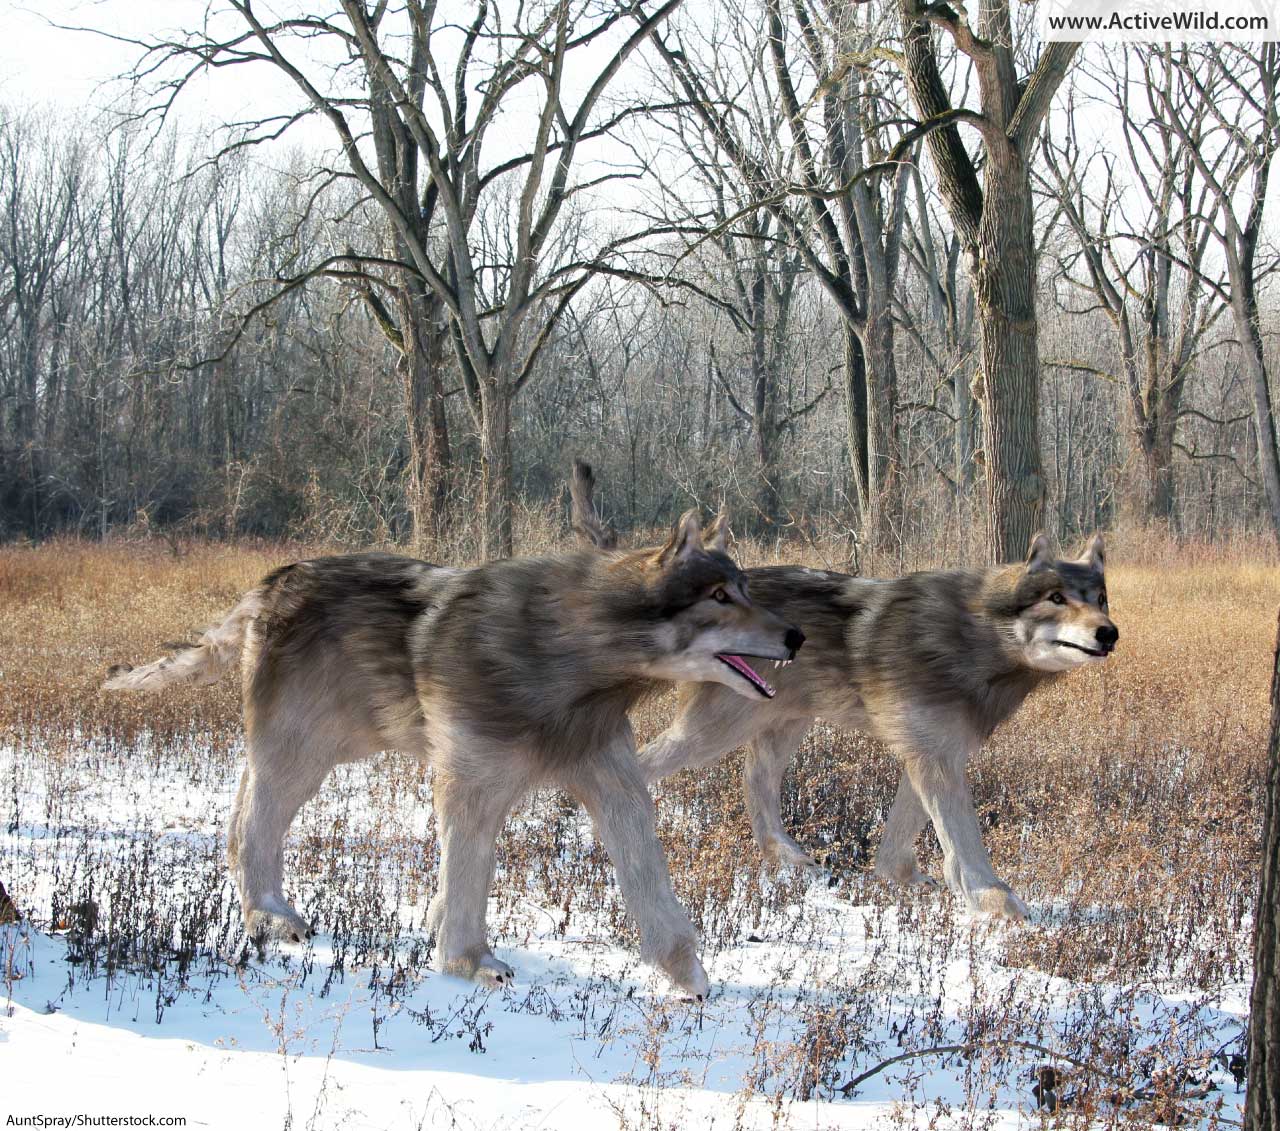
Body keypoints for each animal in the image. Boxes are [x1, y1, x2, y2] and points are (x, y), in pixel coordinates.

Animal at [103, 501, 804, 996]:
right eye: (719, 597)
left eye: (746, 588)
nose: (797, 635)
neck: (570, 656)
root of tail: (269, 584)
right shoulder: (468, 787)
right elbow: (469, 877)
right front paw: (468, 962)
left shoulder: (615, 785)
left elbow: (648, 879)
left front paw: (687, 974)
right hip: (300, 758)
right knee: (256, 823)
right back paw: (268, 917)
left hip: (320, 752)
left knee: (241, 810)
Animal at [570, 469, 1117, 919]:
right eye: (1056, 598)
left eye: (1100, 599)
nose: (1109, 633)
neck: (974, 638)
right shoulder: (933, 758)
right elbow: (965, 841)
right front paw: (994, 903)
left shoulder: (933, 753)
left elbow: (904, 838)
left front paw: (905, 883)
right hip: (713, 734)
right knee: (642, 770)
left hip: (783, 726)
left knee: (754, 783)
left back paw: (790, 862)